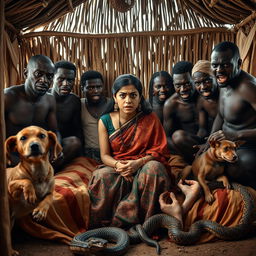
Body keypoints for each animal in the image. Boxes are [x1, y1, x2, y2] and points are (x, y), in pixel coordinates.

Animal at [5, 126, 62, 256]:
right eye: (23, 138)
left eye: (42, 135)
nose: (34, 145)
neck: (38, 173)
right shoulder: (10, 187)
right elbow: (26, 181)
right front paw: (30, 193)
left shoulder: (51, 192)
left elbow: (48, 198)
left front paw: (41, 211)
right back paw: (10, 251)